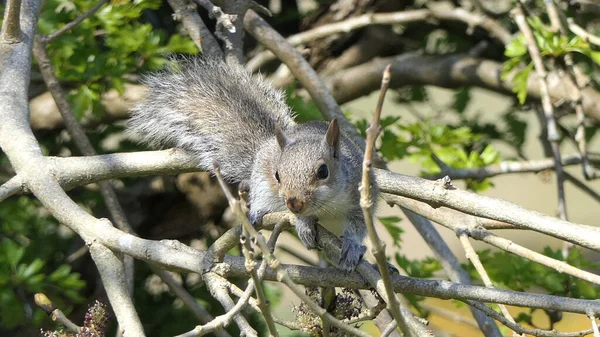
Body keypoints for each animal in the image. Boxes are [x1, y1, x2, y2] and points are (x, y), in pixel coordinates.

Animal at [129, 57, 378, 270]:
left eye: (323, 171)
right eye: (278, 175)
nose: (294, 203)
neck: (328, 204)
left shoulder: (360, 195)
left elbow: (358, 224)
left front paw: (352, 246)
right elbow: (304, 218)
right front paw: (304, 224)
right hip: (261, 180)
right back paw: (258, 212)